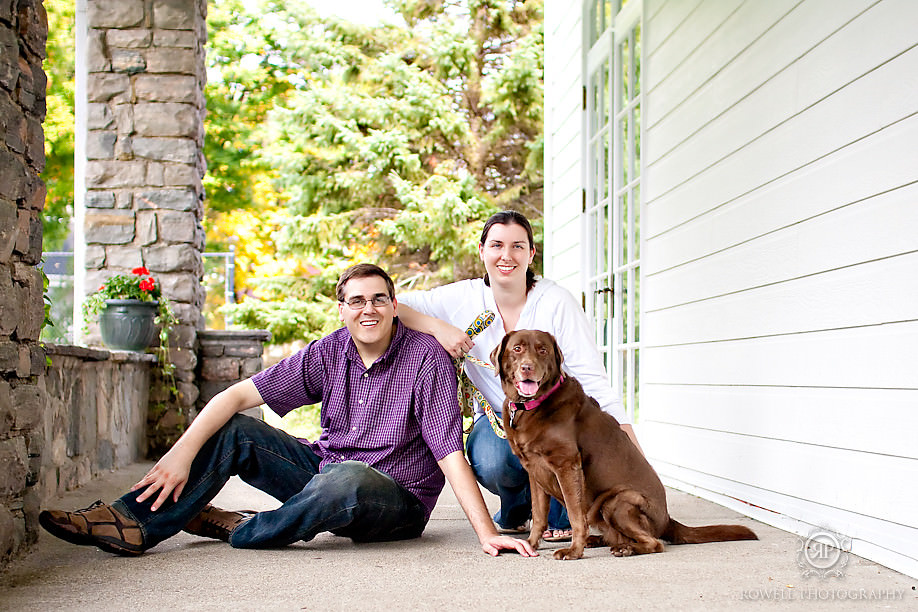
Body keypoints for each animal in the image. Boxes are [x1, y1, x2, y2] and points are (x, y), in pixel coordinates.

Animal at [492, 330, 760, 560]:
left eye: (543, 350)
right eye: (517, 349)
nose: (527, 367)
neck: (530, 407)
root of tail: (667, 519)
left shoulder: (567, 465)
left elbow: (576, 515)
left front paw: (574, 551)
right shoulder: (534, 471)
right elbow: (539, 516)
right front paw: (530, 544)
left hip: (618, 501)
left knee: (654, 543)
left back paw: (624, 549)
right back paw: (600, 541)